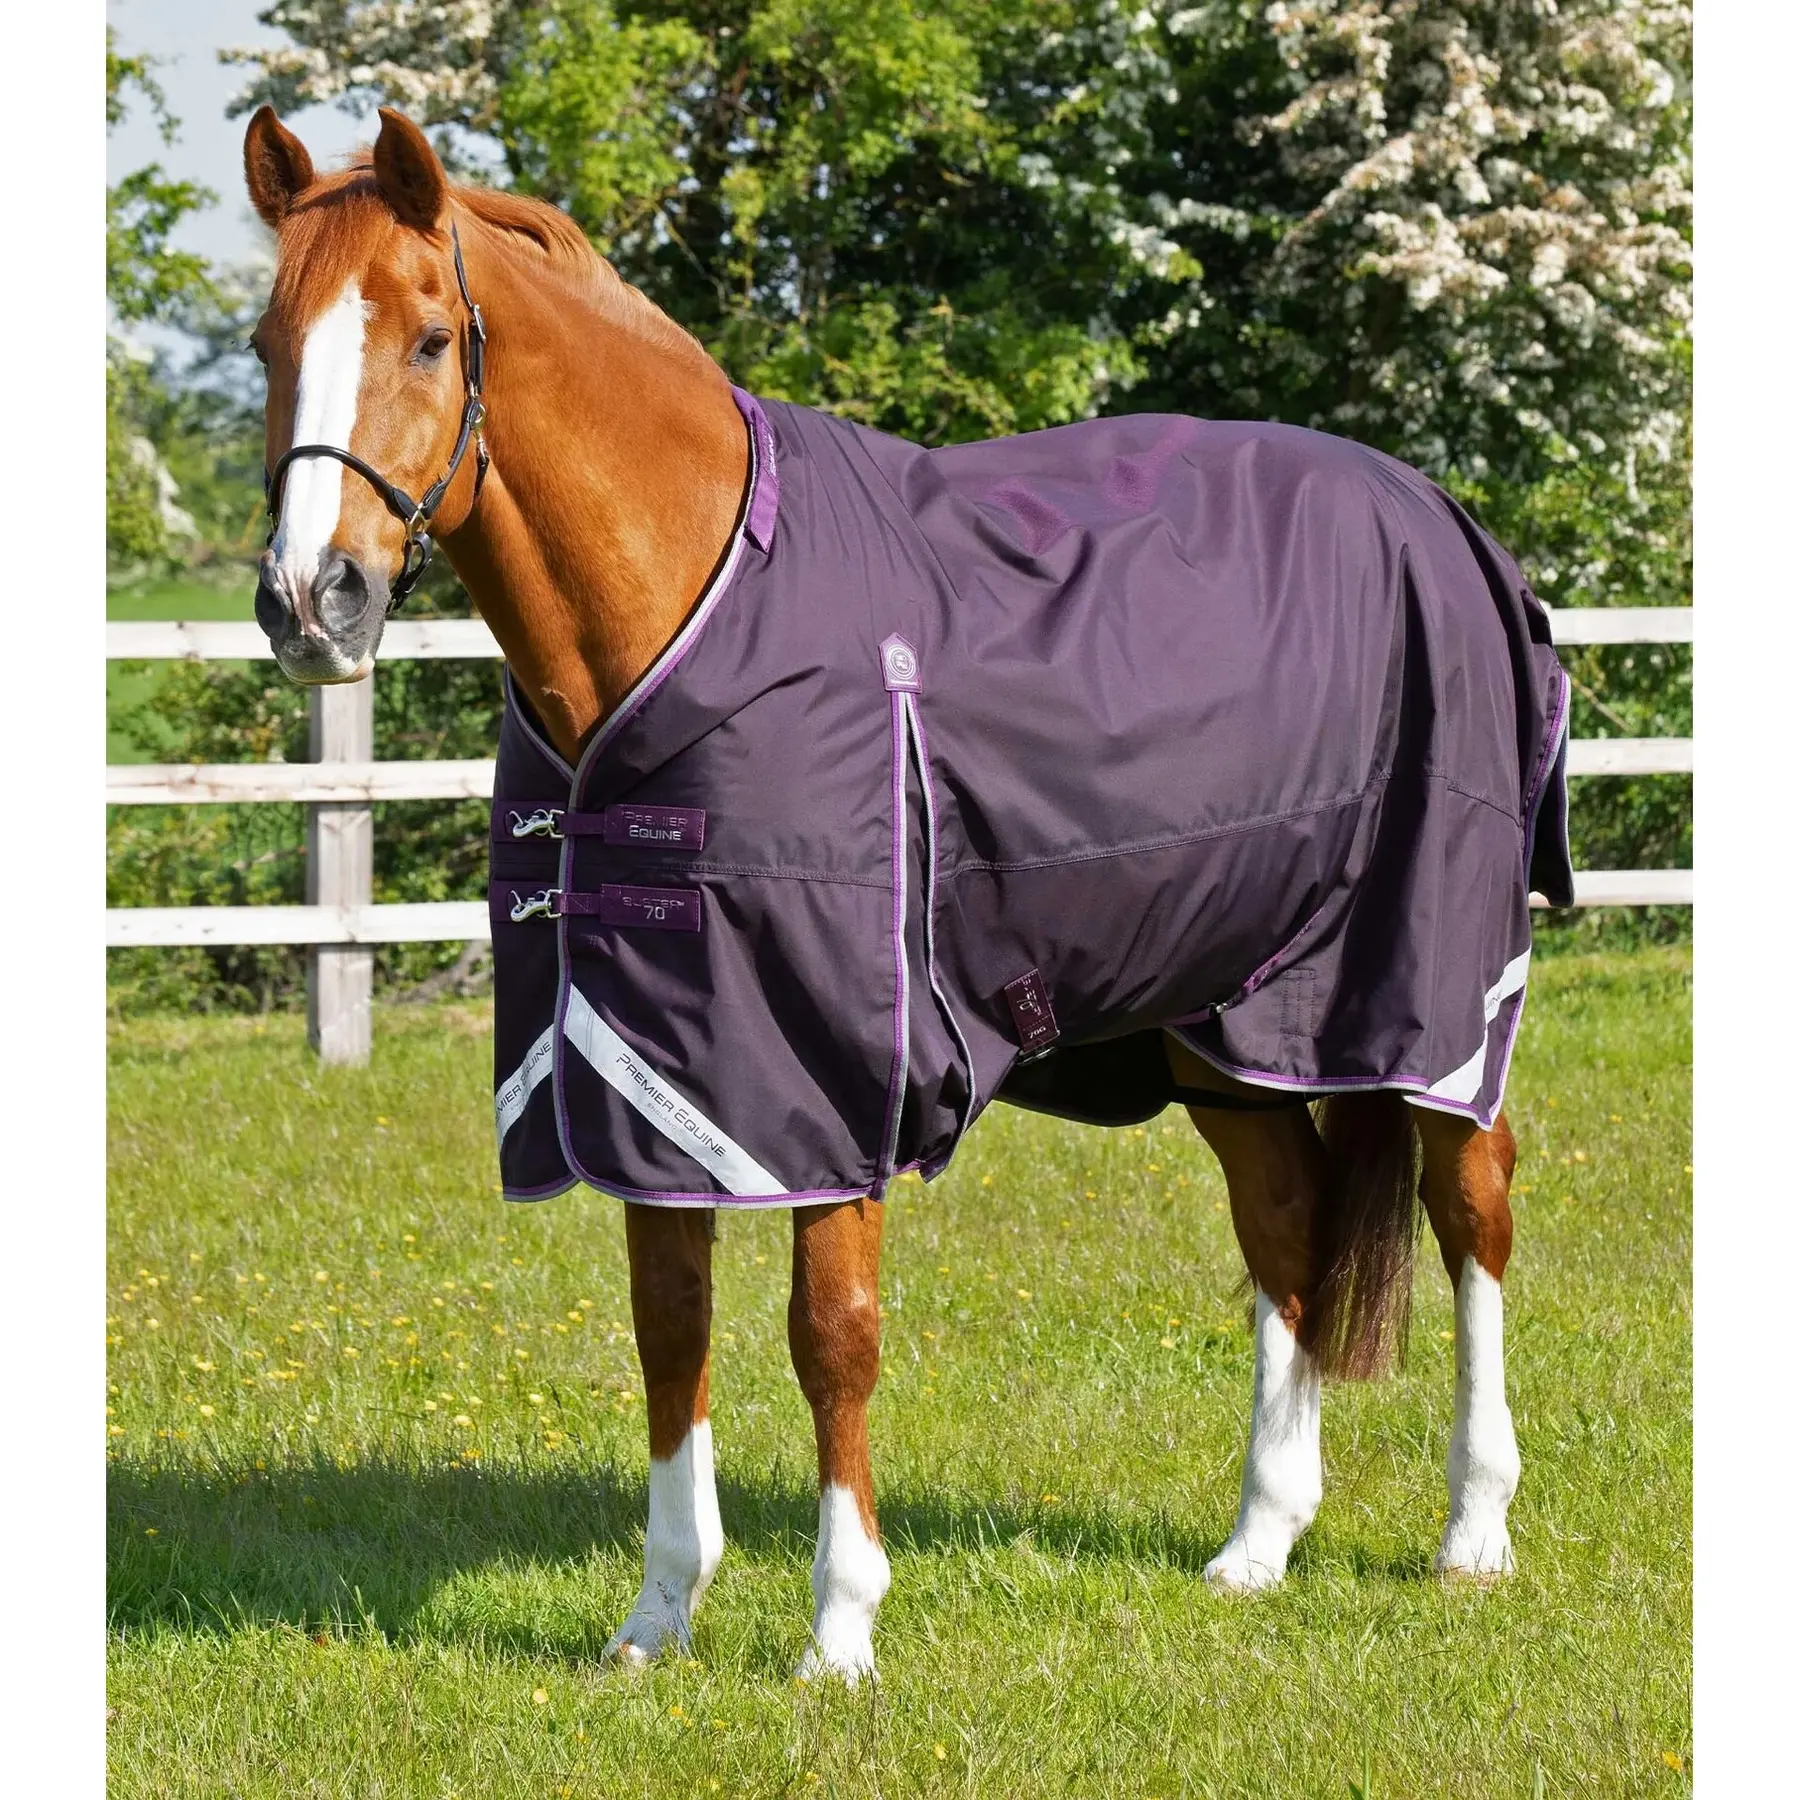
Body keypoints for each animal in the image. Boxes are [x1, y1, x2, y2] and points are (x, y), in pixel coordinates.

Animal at [242, 105, 1569, 1683]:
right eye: (267, 341)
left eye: (433, 338)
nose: (310, 601)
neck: (696, 598)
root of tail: (1442, 515)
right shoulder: (652, 1067)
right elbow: (668, 1325)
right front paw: (658, 1617)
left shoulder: (827, 1072)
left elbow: (833, 1332)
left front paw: (840, 1628)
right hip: (1225, 1024)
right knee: (1290, 1228)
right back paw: (1259, 1542)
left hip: (1426, 995)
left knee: (1470, 1210)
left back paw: (1475, 1531)